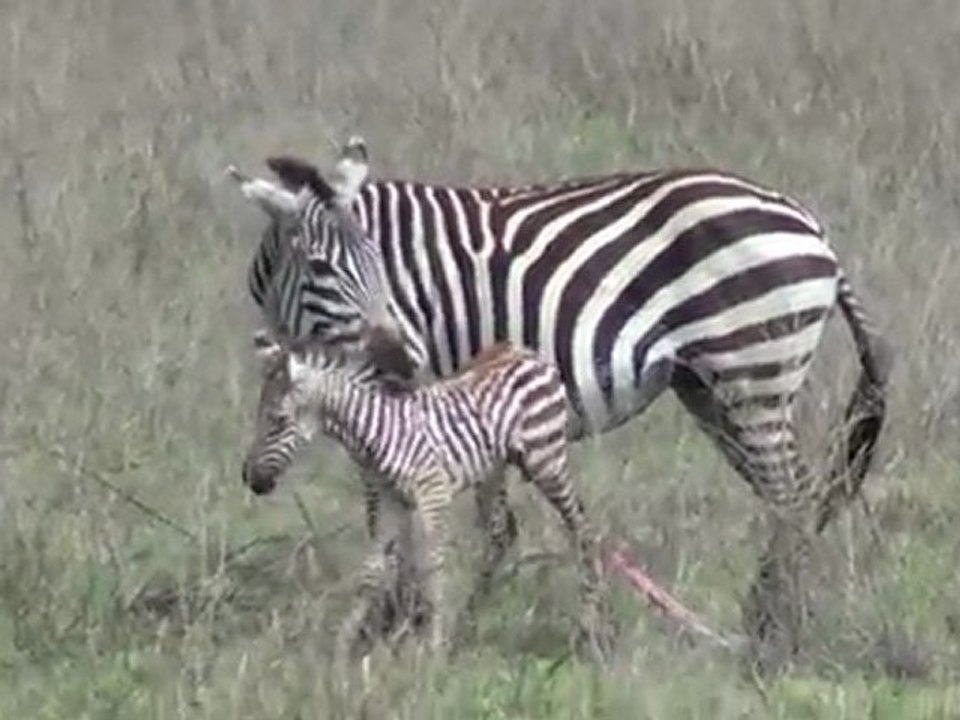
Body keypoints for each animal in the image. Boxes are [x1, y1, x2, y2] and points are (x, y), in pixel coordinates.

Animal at [240, 328, 611, 662]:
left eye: (278, 420)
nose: (250, 479)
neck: (376, 430)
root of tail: (523, 351)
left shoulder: (433, 493)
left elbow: (431, 567)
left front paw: (432, 648)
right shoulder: (391, 501)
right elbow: (372, 572)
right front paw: (344, 647)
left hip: (546, 460)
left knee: (582, 528)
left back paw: (590, 628)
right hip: (494, 468)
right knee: (501, 535)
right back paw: (468, 620)